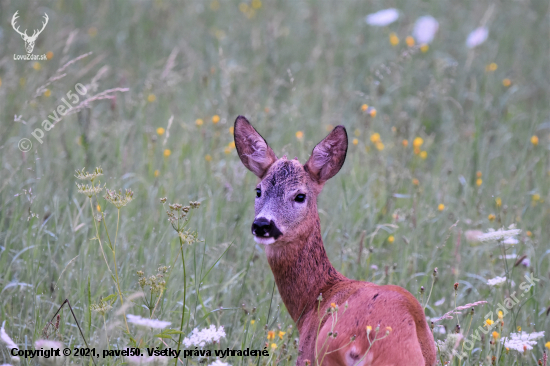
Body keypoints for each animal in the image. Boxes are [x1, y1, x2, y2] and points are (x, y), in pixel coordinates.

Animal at [235, 116, 438, 366]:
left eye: (300, 195)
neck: (317, 297)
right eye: (258, 191)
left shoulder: (306, 356)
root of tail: (362, 343)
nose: (263, 224)